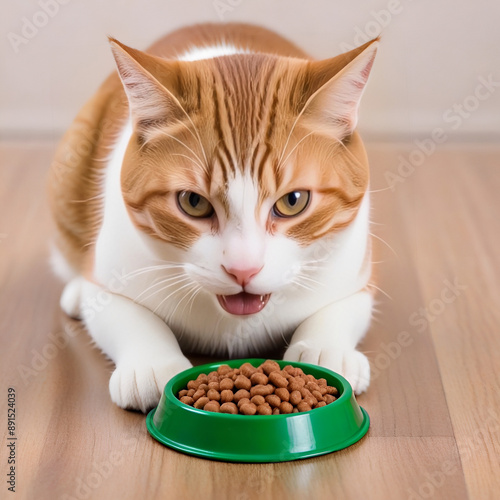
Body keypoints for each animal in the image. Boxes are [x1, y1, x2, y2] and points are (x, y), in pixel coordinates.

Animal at [48, 23, 378, 412]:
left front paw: (326, 351)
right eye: (193, 202)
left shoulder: (357, 276)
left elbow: (340, 310)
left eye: (294, 201)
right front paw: (151, 364)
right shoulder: (107, 279)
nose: (243, 270)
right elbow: (125, 314)